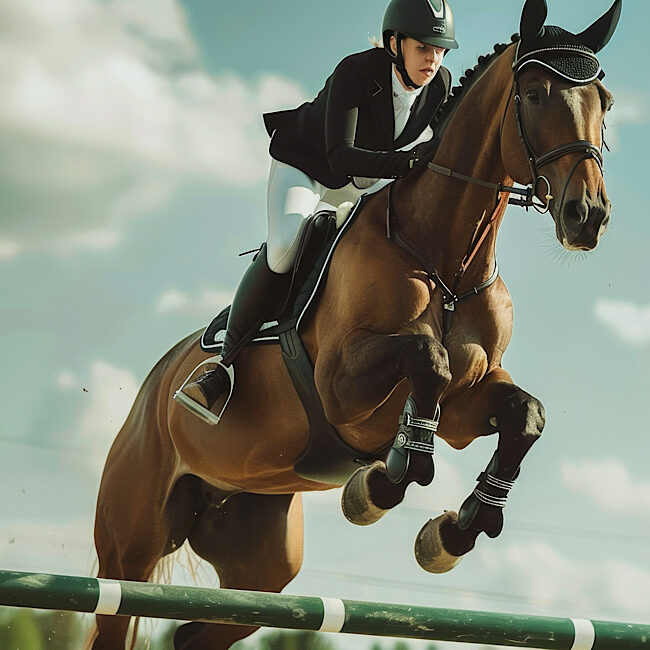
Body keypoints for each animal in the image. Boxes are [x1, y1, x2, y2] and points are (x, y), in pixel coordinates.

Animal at [89, 0, 620, 647]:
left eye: (606, 101)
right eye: (538, 93)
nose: (587, 216)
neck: (445, 259)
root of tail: (154, 386)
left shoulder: (467, 404)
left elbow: (524, 415)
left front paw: (454, 533)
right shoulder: (341, 387)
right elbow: (427, 362)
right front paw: (377, 487)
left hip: (261, 558)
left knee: (201, 628)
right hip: (129, 547)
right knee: (117, 604)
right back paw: (210, 385)